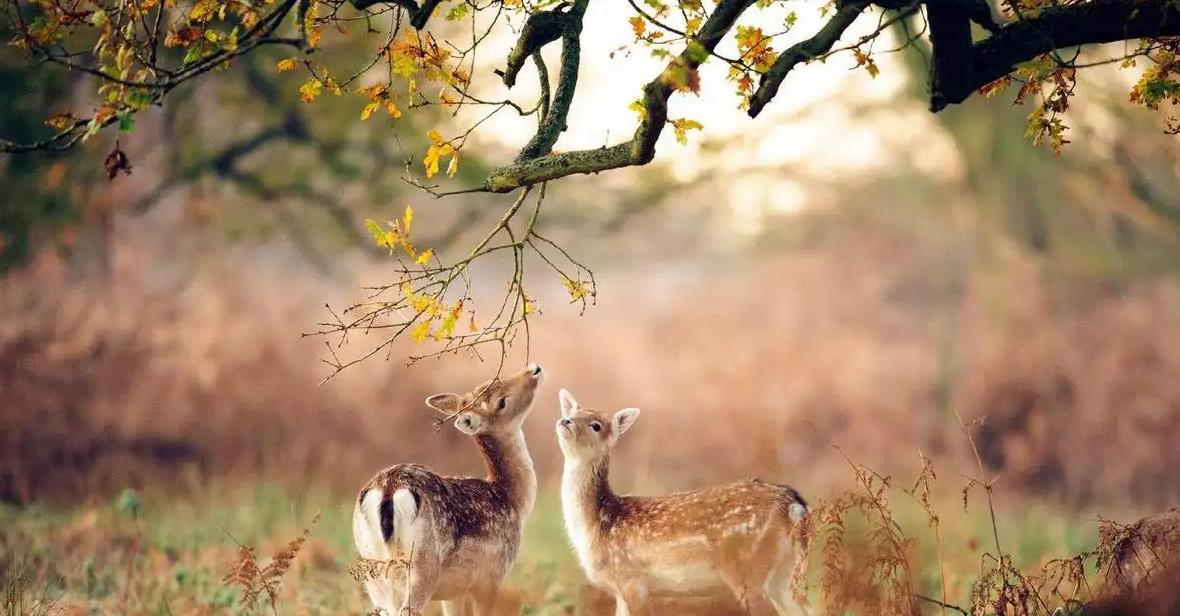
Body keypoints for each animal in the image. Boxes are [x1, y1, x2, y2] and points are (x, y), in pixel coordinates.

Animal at [351, 361, 545, 608]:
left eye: (491, 380)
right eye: (501, 402)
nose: (534, 369)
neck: (511, 499)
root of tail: (388, 489)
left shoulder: (453, 593)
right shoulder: (490, 577)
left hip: (373, 570)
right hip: (422, 566)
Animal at [552, 389, 811, 613]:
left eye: (596, 425)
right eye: (573, 412)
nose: (565, 420)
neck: (596, 524)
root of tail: (793, 504)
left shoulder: (632, 580)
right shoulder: (620, 591)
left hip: (747, 569)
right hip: (785, 573)